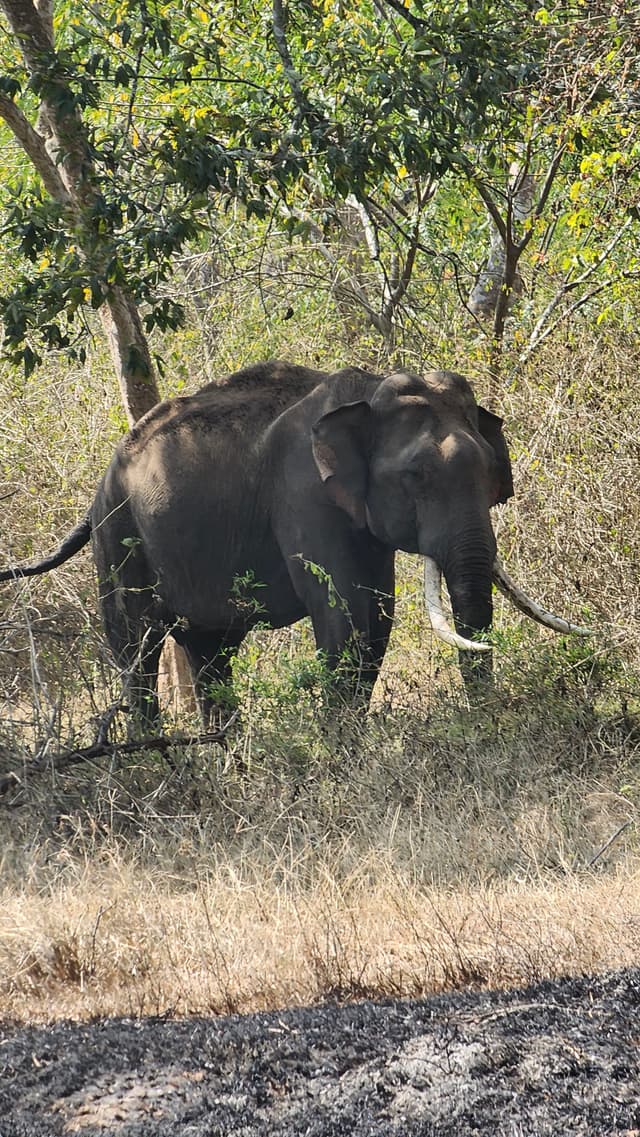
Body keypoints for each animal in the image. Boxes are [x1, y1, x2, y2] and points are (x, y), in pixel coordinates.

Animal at [0, 359, 586, 723]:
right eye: (415, 476)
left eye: (490, 473)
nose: (483, 722)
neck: (368, 390)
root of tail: (100, 484)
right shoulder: (303, 493)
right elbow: (348, 616)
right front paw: (343, 760)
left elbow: (375, 617)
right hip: (119, 536)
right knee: (136, 648)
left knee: (212, 653)